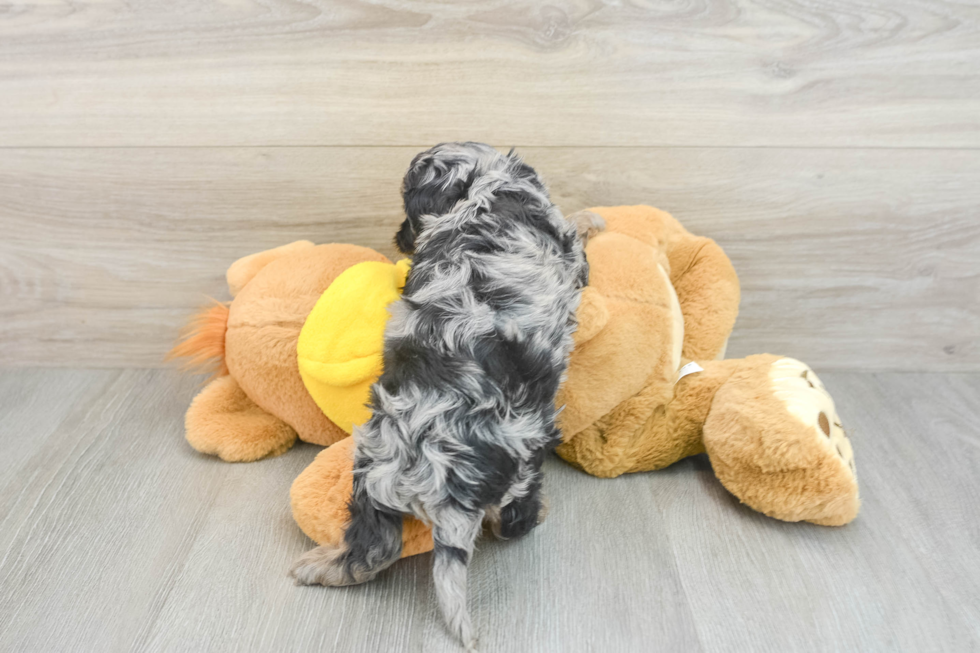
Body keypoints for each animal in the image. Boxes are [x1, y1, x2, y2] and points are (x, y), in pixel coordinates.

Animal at [288, 141, 600, 648]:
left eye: (410, 211)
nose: (399, 237)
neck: (484, 186)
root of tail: (440, 479)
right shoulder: (568, 251)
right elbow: (577, 232)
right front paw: (592, 219)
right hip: (527, 455)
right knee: (514, 519)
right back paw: (535, 513)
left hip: (370, 469)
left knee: (373, 549)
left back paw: (322, 567)